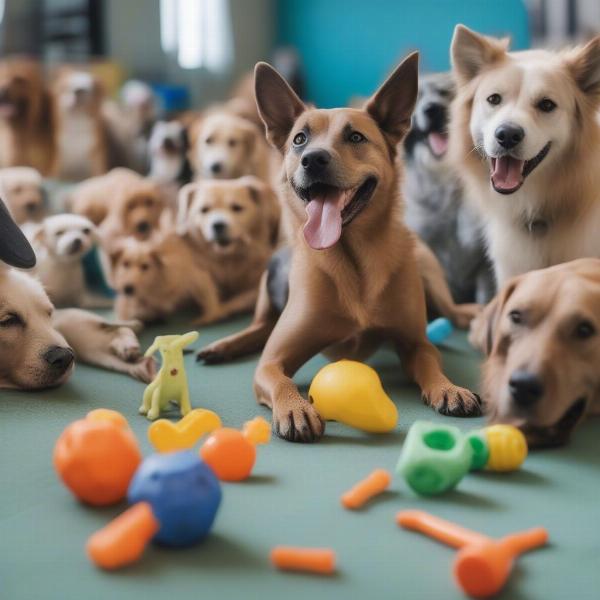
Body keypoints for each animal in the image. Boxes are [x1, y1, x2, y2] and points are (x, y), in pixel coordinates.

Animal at [0, 266, 157, 390]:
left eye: (49, 313)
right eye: (8, 320)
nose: (65, 357)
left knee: (121, 328)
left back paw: (128, 344)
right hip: (91, 348)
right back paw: (144, 367)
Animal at [199, 55, 486, 440]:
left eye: (355, 137)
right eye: (299, 139)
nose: (313, 159)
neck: (353, 261)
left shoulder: (415, 343)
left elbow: (431, 365)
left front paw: (449, 388)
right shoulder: (272, 360)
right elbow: (279, 379)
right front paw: (295, 407)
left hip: (428, 268)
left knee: (451, 310)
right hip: (268, 280)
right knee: (259, 327)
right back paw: (222, 345)